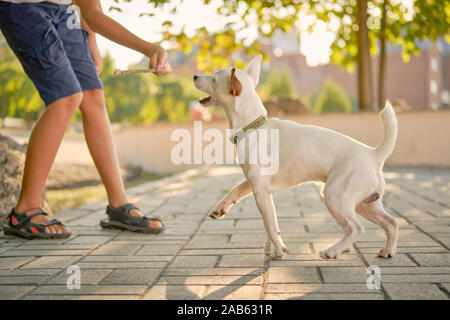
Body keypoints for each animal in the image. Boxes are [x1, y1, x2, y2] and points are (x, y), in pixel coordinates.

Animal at [193, 55, 398, 260]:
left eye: (213, 78)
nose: (195, 75)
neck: (252, 127)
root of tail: (373, 154)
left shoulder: (261, 190)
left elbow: (270, 224)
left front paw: (279, 250)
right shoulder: (252, 181)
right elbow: (234, 191)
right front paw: (220, 208)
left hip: (335, 196)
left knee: (356, 228)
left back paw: (331, 251)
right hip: (365, 204)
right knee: (391, 223)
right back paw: (387, 251)